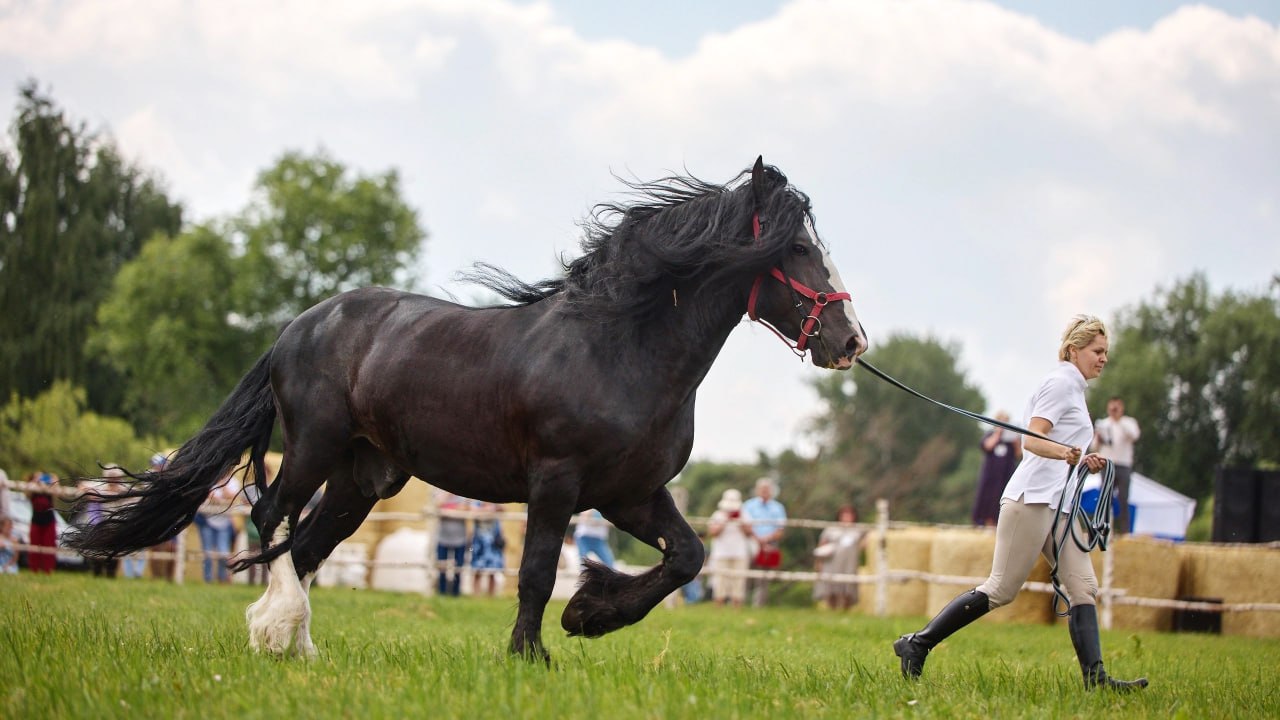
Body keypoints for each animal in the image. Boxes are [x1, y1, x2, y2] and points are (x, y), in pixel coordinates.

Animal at [72, 155, 870, 655]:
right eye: (798, 249)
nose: (851, 340)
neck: (621, 348)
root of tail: (297, 327)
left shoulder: (629, 492)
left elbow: (688, 557)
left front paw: (590, 614)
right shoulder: (557, 481)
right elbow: (536, 572)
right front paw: (532, 653)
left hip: (363, 479)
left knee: (304, 547)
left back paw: (299, 648)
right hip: (312, 447)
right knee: (271, 519)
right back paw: (275, 630)